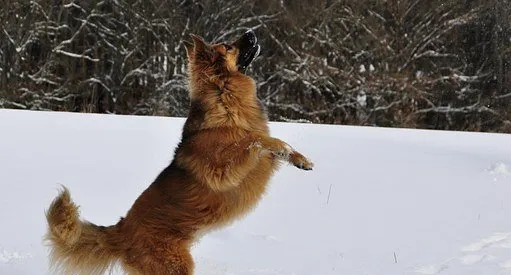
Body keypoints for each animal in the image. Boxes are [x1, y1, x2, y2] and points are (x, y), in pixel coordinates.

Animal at [46, 30, 314, 275]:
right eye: (228, 46)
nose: (250, 32)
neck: (223, 94)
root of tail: (120, 230)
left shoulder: (261, 161)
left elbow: (271, 143)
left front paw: (301, 159)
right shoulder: (222, 171)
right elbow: (256, 138)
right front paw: (283, 148)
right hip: (175, 265)